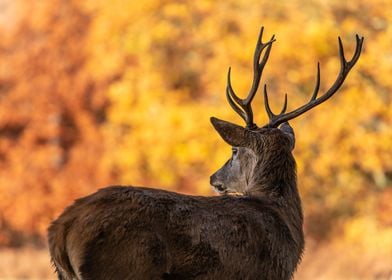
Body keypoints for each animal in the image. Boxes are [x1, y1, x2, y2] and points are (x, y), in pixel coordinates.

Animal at [47, 26, 362, 280]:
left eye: (234, 150)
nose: (213, 178)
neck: (283, 220)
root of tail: (60, 230)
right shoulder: (265, 272)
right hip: (124, 268)